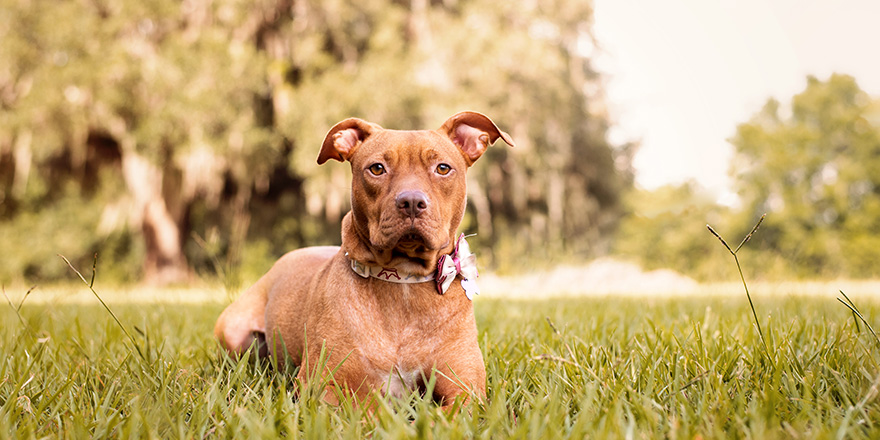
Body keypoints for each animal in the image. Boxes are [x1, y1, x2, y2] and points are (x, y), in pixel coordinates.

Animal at [213, 110, 512, 410]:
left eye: (442, 168)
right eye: (377, 168)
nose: (411, 202)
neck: (404, 279)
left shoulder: (466, 389)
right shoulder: (323, 386)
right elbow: (368, 409)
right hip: (233, 333)